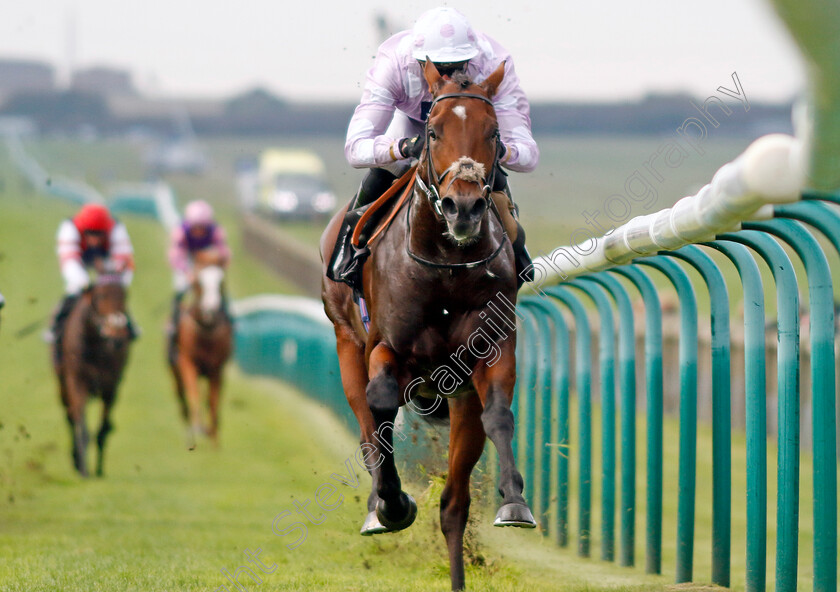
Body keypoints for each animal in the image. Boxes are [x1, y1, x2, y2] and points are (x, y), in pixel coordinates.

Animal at [52, 274, 132, 476]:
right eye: (99, 297)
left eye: (124, 298)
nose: (117, 336)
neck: (95, 346)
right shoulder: (76, 382)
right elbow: (82, 426)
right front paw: (83, 469)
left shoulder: (110, 386)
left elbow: (102, 429)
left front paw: (99, 470)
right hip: (62, 385)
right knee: (70, 417)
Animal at [169, 249, 231, 448]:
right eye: (198, 282)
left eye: (221, 281)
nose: (210, 310)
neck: (206, 330)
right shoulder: (187, 362)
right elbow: (193, 393)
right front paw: (197, 428)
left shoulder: (216, 368)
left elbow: (213, 401)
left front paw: (214, 439)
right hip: (175, 372)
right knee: (183, 400)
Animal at [318, 62, 536, 588]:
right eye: (432, 131)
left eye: (494, 133)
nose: (464, 207)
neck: (445, 266)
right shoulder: (385, 348)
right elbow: (379, 406)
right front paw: (392, 503)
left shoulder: (490, 350)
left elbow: (500, 415)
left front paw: (515, 502)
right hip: (346, 340)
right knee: (367, 423)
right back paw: (380, 505)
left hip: (458, 398)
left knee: (454, 505)